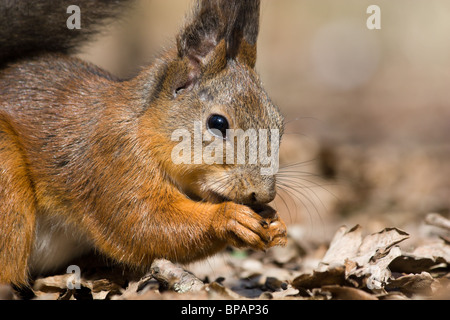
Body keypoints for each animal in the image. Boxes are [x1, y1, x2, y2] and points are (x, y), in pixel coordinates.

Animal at [0, 0, 286, 284]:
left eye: (280, 126)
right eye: (217, 123)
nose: (263, 194)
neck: (141, 127)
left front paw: (276, 223)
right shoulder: (112, 159)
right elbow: (142, 223)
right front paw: (228, 218)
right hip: (7, 181)